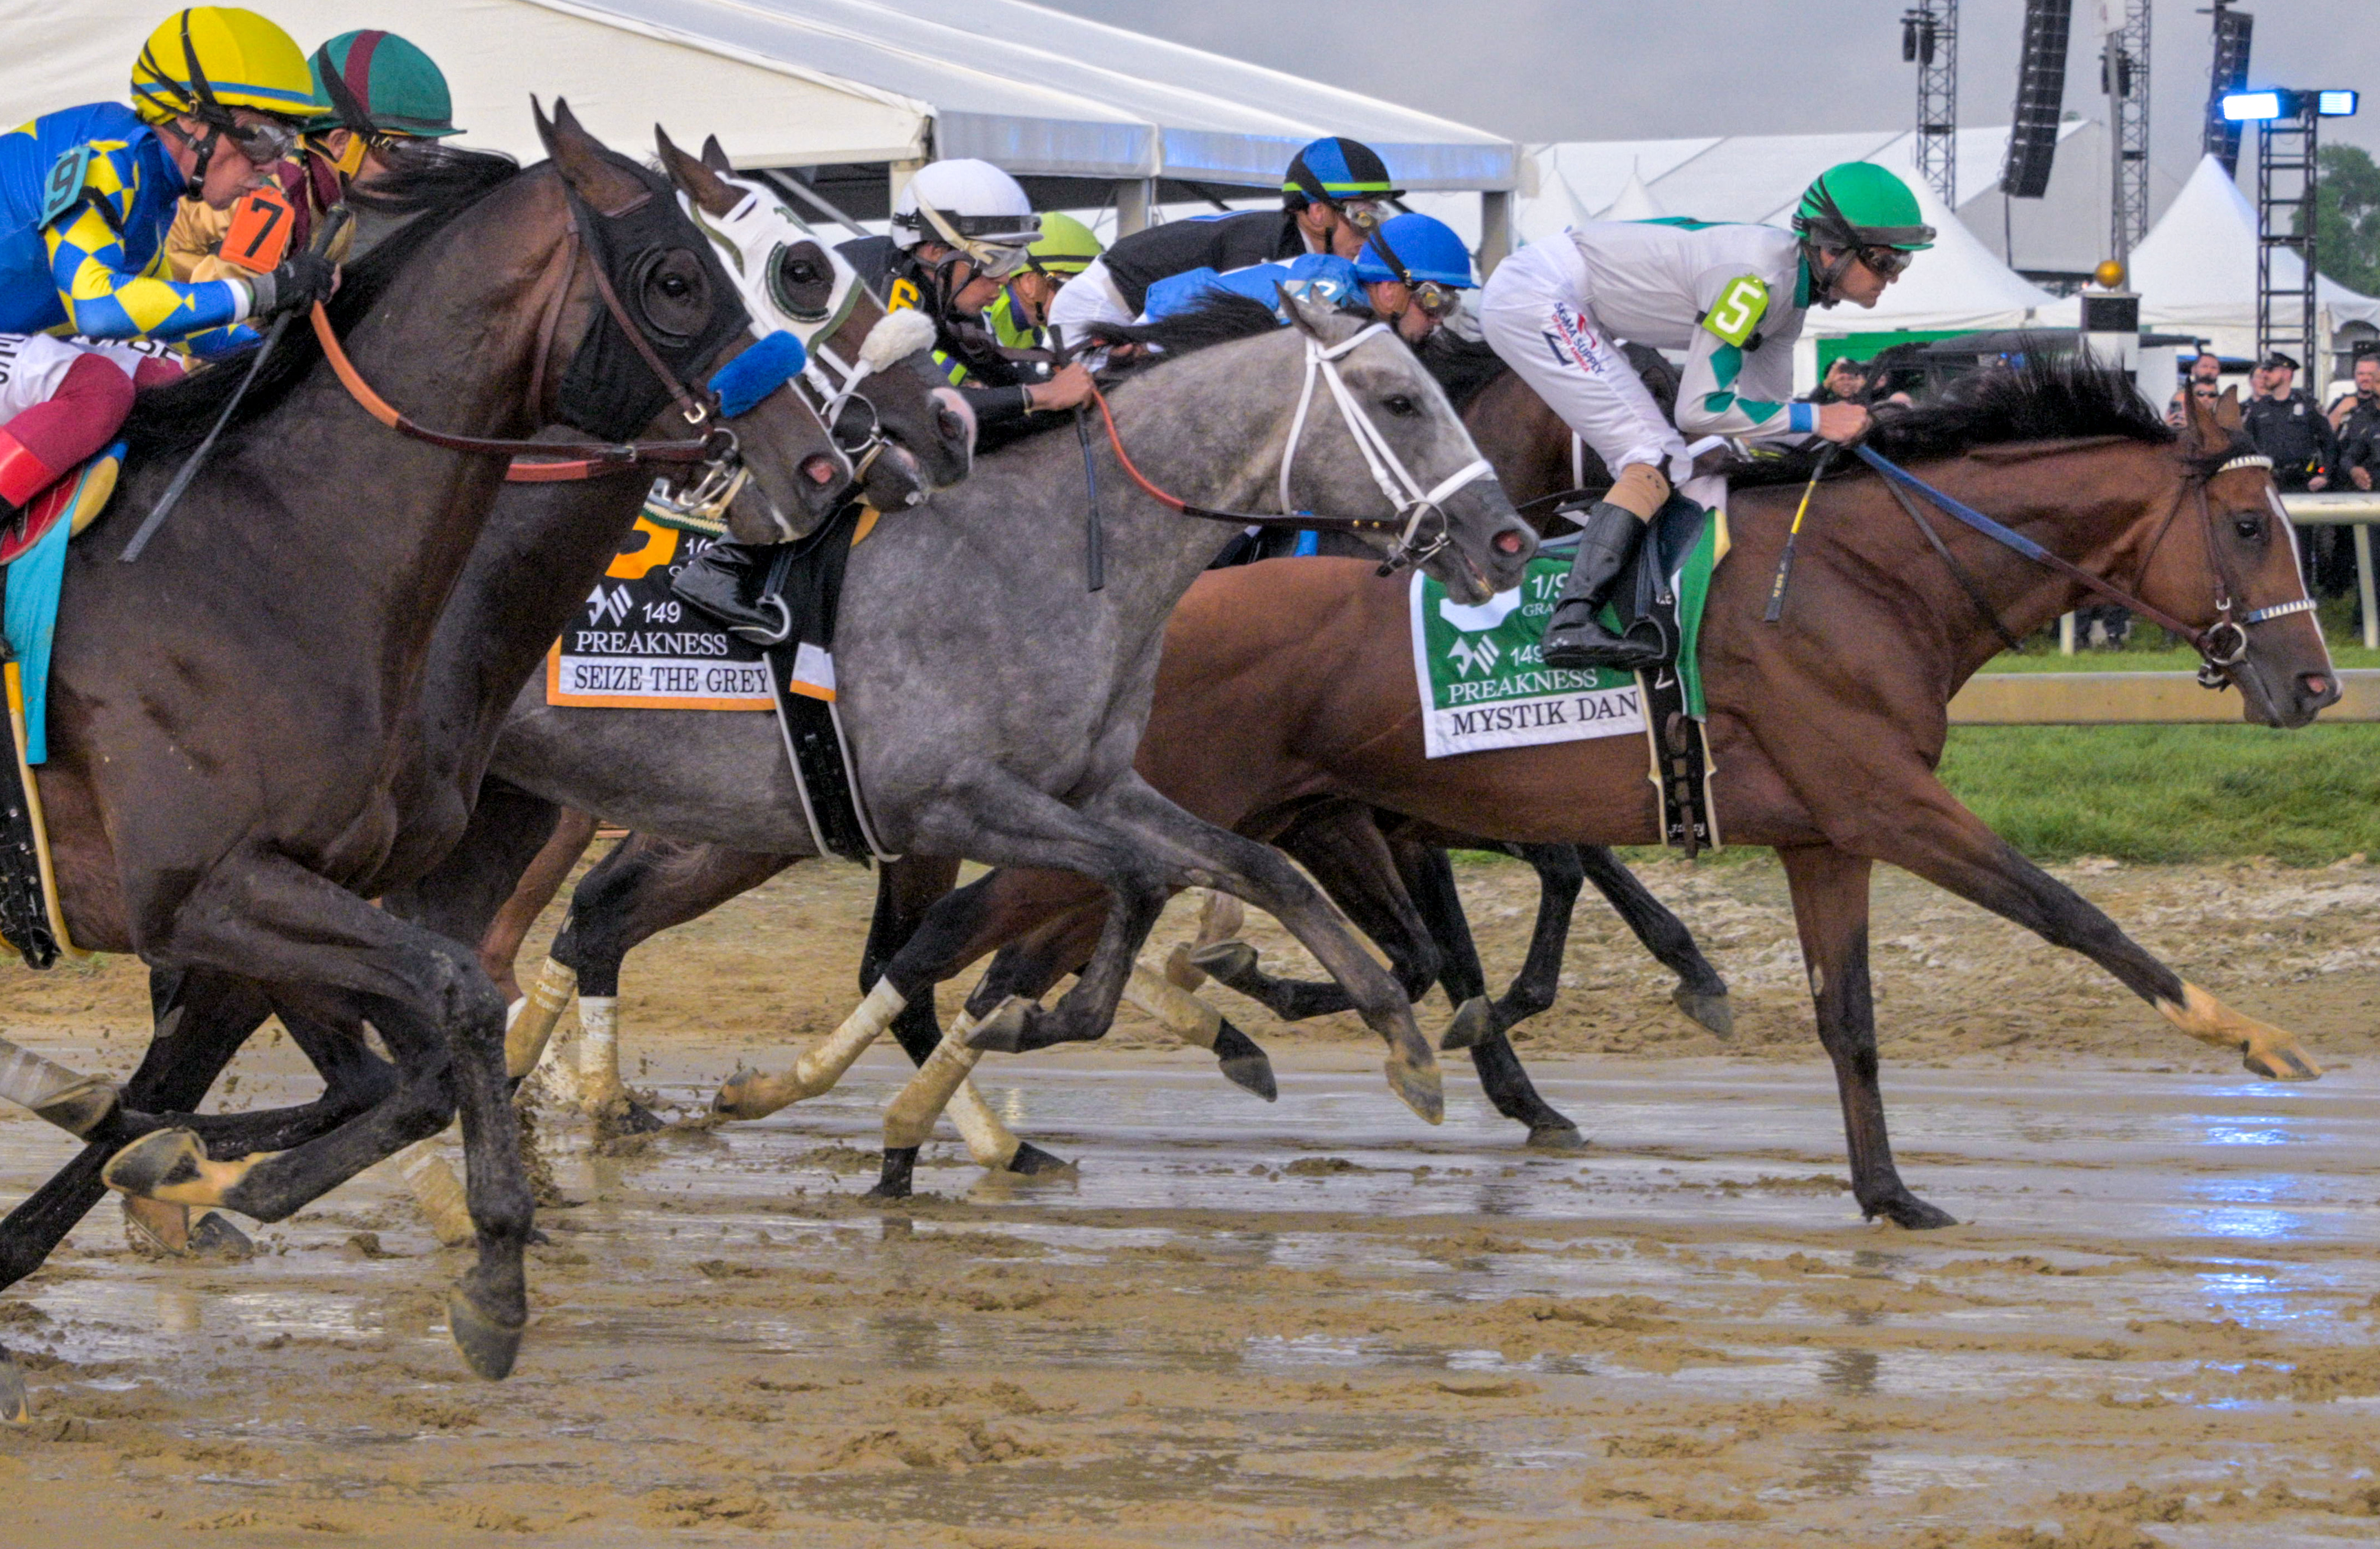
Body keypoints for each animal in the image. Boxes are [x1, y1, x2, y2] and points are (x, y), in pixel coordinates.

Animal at [0, 103, 847, 1399]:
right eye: (678, 277)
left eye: (790, 269)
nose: (822, 465)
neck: (280, 560)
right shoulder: (204, 891)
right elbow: (443, 1005)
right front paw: (486, 1262)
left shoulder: (296, 893)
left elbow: (415, 1054)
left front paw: (189, 1173)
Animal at [492, 297, 1532, 1132]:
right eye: (1401, 402)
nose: (1508, 539)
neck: (1045, 557)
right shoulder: (947, 804)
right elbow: (1136, 880)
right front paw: (1040, 1018)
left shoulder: (1096, 786)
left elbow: (1258, 868)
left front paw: (1403, 1043)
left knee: (598, 916)